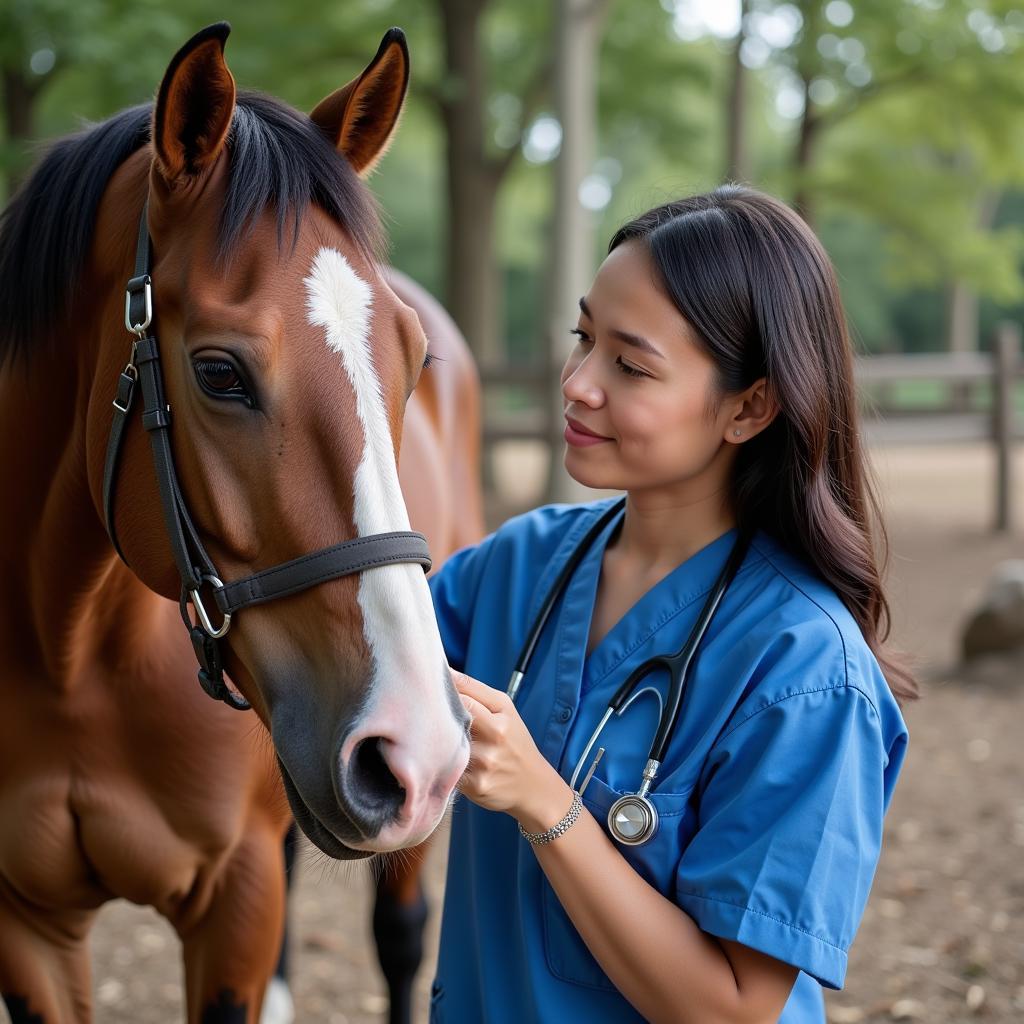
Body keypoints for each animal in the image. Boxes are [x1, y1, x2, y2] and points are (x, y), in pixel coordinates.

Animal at [0, 24, 483, 1024]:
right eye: (219, 373)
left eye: (413, 360)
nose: (410, 743)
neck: (67, 654)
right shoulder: (25, 923)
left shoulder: (235, 897)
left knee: (401, 934)